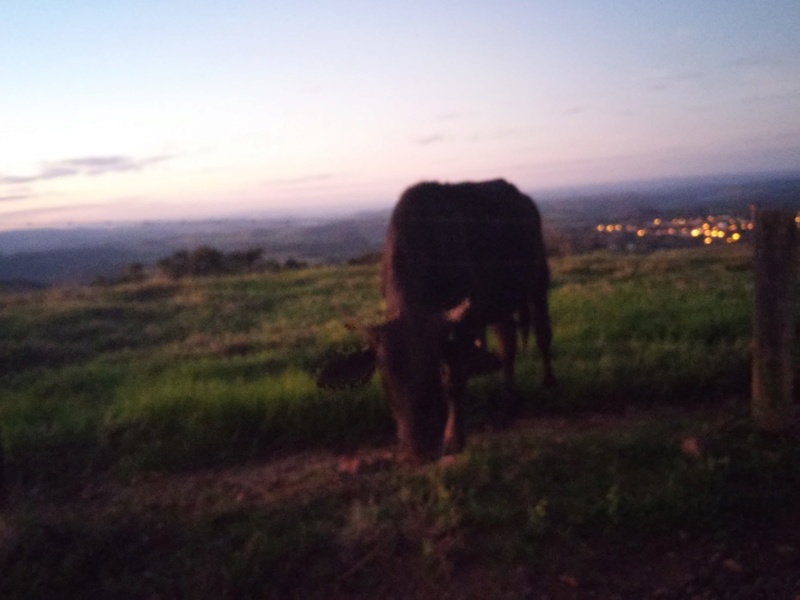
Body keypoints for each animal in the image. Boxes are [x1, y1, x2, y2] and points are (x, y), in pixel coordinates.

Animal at [318, 180, 556, 462]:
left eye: (431, 371)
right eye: (385, 376)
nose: (416, 450)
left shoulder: (463, 329)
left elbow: (454, 381)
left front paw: (453, 437)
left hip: (539, 282)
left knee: (542, 333)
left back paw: (548, 383)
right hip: (501, 305)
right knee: (507, 344)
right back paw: (509, 400)